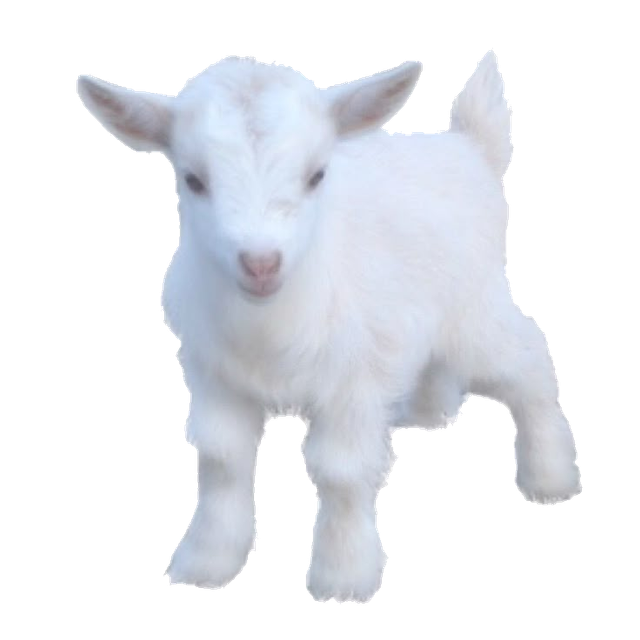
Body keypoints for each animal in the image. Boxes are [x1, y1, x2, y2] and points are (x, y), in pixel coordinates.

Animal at [76, 50, 582, 603]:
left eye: (317, 175)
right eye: (193, 180)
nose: (261, 264)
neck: (269, 329)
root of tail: (469, 147)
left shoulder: (353, 381)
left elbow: (341, 471)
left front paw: (343, 577)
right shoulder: (215, 376)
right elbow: (222, 457)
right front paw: (205, 563)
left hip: (475, 309)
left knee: (529, 361)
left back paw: (550, 478)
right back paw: (429, 411)